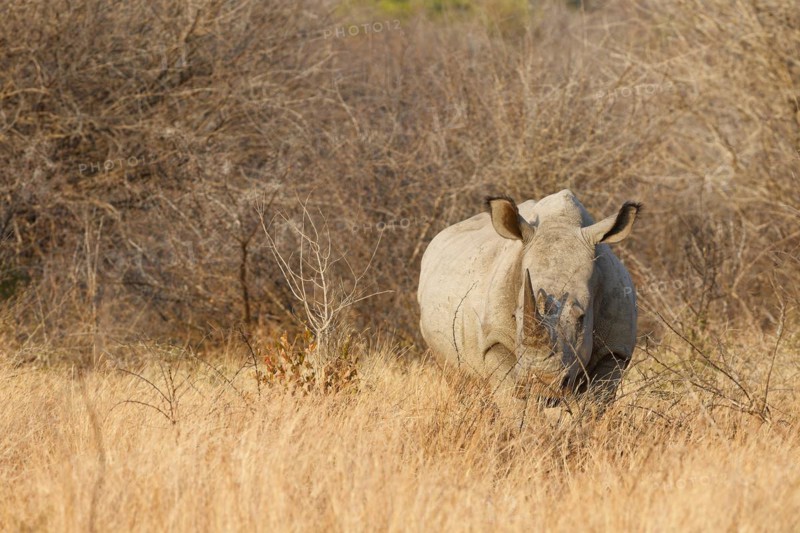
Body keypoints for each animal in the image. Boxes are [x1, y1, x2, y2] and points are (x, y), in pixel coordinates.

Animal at [417, 190, 640, 403]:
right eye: (516, 317)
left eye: (581, 318)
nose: (543, 382)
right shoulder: (495, 341)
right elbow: (512, 402)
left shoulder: (615, 350)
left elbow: (593, 403)